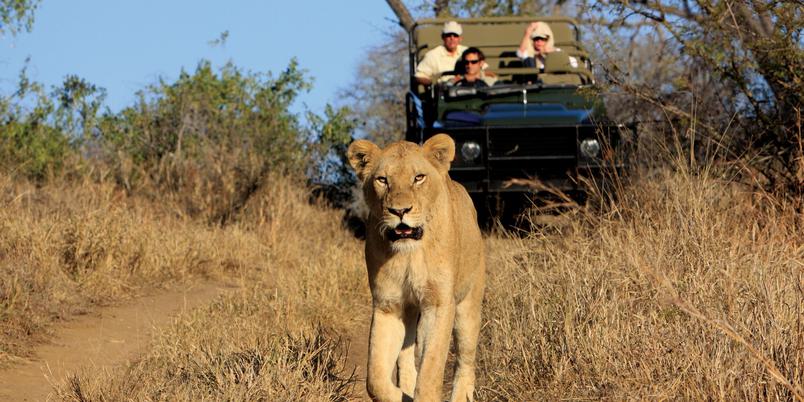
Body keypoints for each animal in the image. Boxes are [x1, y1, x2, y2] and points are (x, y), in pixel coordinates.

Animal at [347, 134, 486, 402]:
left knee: (465, 361)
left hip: (468, 305)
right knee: (406, 356)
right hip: (411, 311)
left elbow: (431, 369)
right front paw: (401, 395)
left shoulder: (439, 304)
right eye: (382, 180)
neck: (409, 254)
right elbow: (375, 379)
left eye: (418, 177)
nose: (400, 211)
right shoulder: (388, 305)